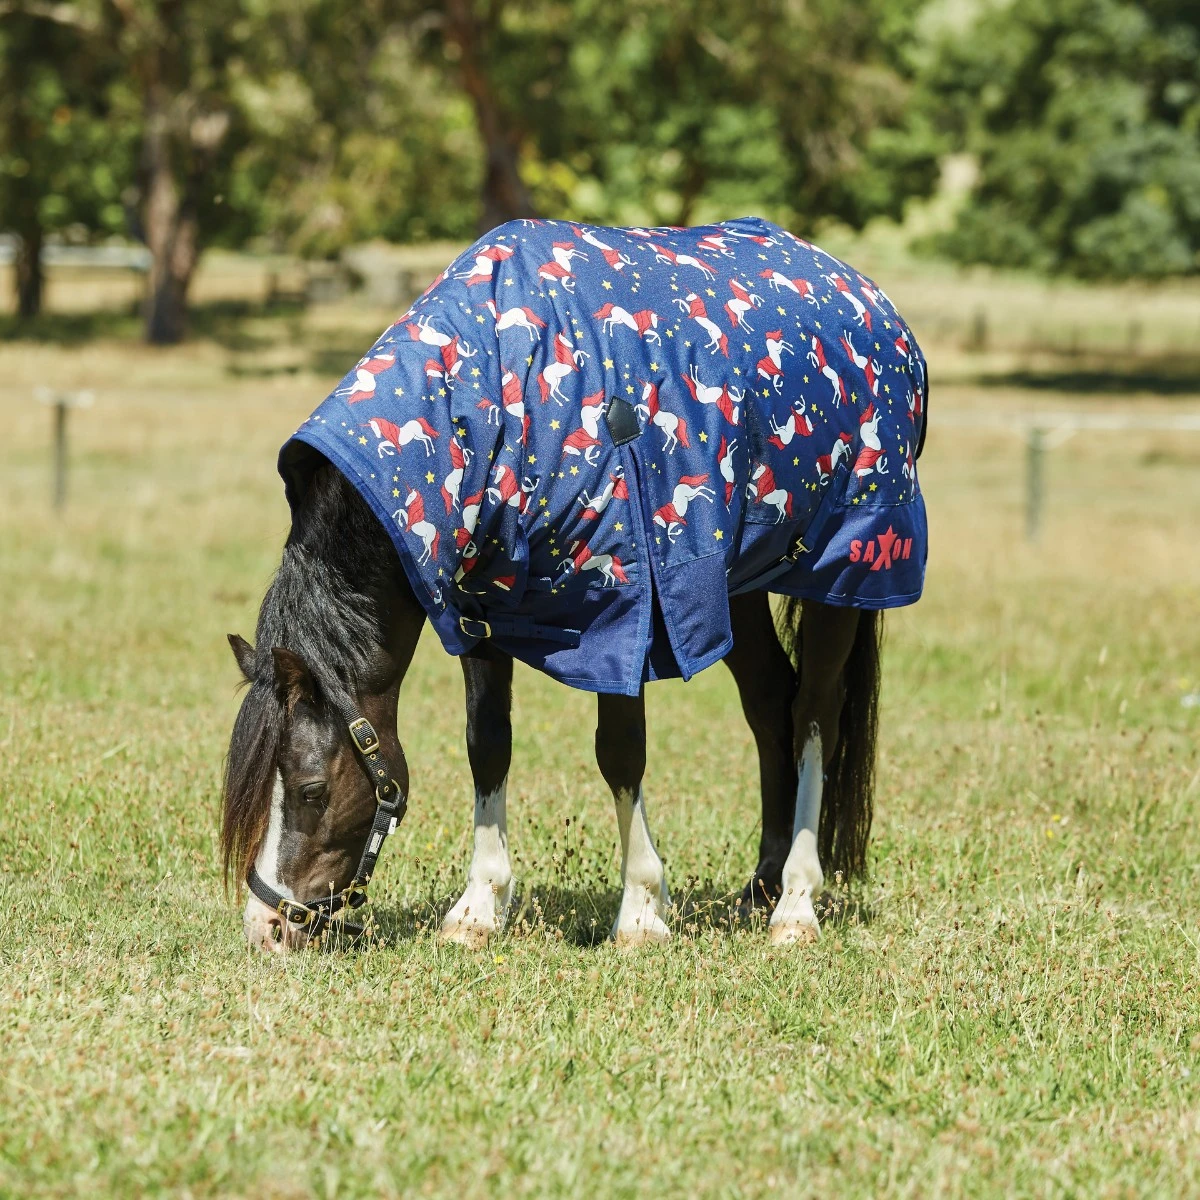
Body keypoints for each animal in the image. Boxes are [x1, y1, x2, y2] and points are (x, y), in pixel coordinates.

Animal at [221, 216, 927, 953]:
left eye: (308, 788)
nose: (266, 927)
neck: (496, 398)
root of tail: (869, 299)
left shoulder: (621, 608)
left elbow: (620, 753)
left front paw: (641, 909)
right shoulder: (482, 608)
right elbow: (487, 743)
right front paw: (479, 906)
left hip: (843, 573)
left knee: (815, 711)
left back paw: (794, 902)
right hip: (738, 586)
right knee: (770, 705)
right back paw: (759, 885)